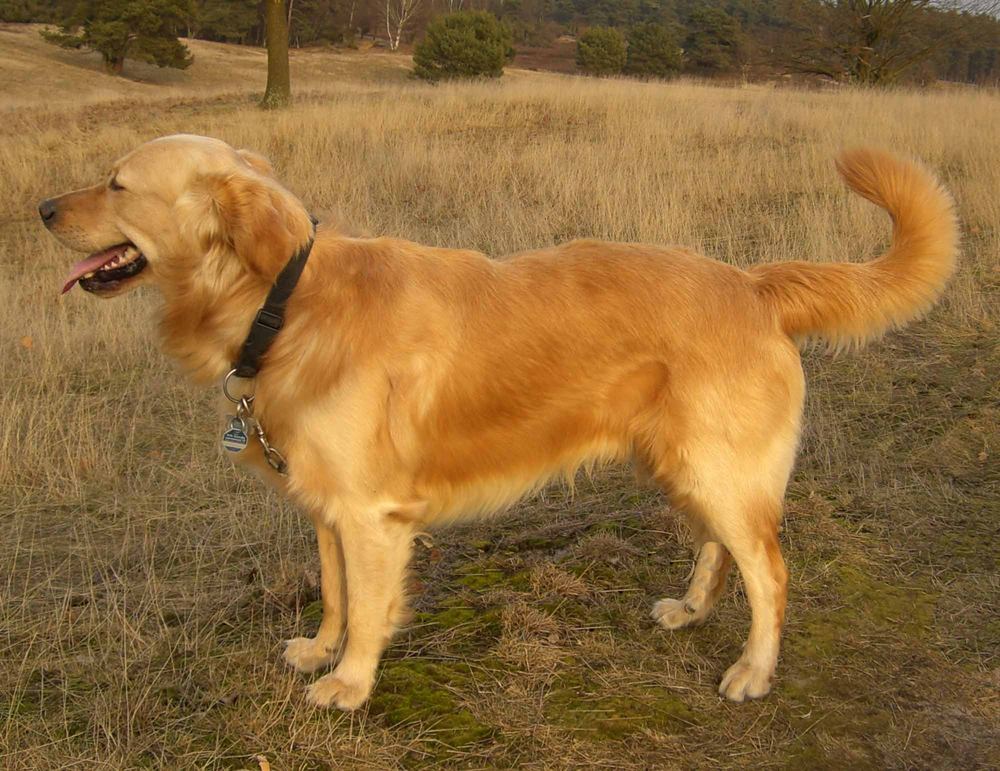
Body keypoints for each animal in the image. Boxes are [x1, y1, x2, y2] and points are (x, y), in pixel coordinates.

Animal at [39, 136, 956, 708]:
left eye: (117, 183)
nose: (44, 206)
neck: (283, 298)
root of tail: (753, 281)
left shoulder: (371, 515)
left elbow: (369, 607)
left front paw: (350, 682)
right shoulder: (327, 504)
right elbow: (336, 592)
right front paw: (320, 649)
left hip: (717, 467)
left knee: (770, 571)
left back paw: (752, 670)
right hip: (686, 465)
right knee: (721, 550)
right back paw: (691, 611)